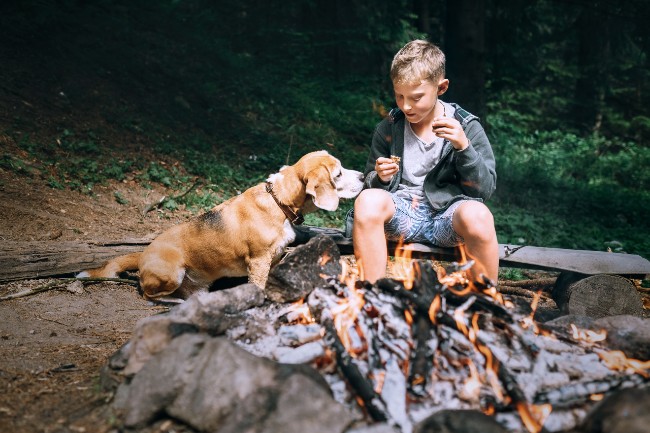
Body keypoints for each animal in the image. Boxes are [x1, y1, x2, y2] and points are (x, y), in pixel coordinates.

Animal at [74, 150, 364, 298]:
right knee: (149, 294)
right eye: (338, 174)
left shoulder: (275, 258)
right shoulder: (258, 261)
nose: (363, 176)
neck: (278, 200)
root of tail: (143, 253)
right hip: (172, 273)